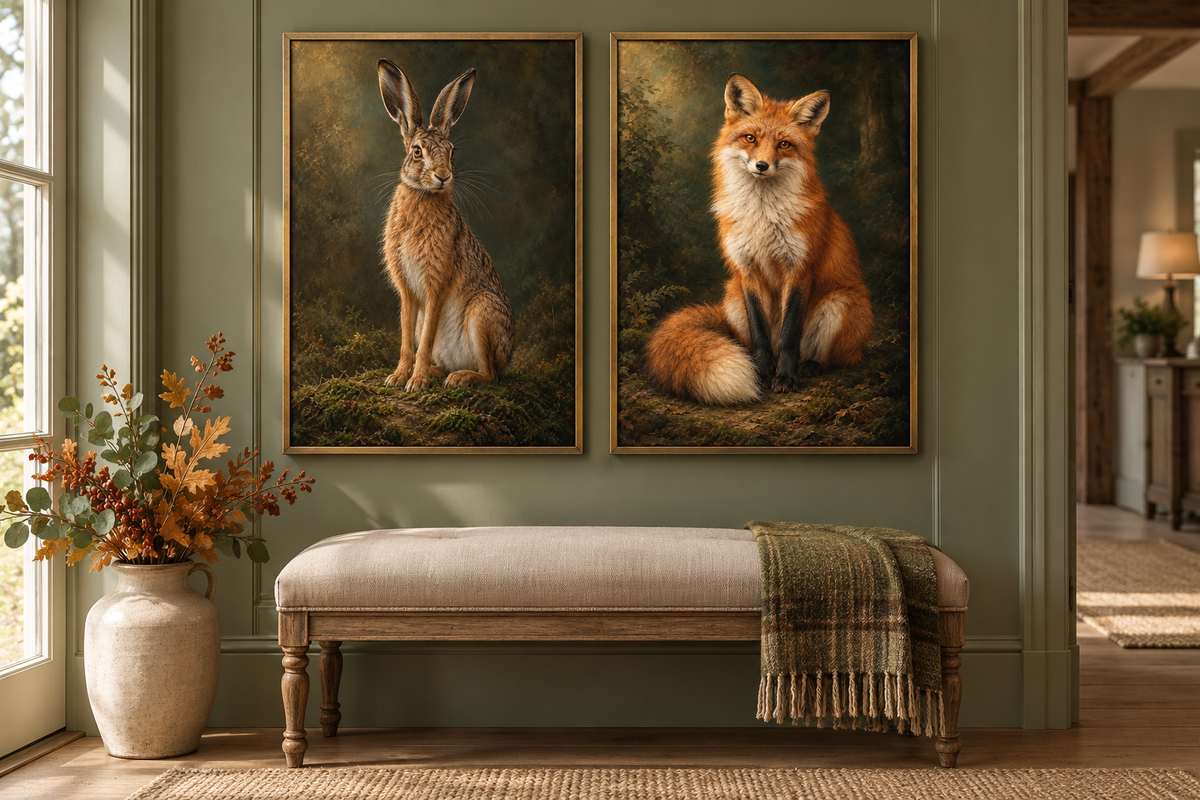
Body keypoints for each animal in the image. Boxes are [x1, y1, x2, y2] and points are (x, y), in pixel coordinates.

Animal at [376, 59, 515, 392]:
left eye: (452, 152)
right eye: (416, 151)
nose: (443, 176)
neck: (423, 194)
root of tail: (509, 358)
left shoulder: (436, 283)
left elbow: (426, 336)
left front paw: (415, 383)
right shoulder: (407, 290)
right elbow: (407, 337)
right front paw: (398, 377)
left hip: (482, 315)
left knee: (491, 375)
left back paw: (459, 377)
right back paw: (437, 372)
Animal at [644, 73, 873, 406]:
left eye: (784, 144)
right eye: (750, 138)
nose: (762, 166)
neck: (763, 218)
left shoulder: (799, 269)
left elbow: (790, 335)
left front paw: (786, 379)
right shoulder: (747, 271)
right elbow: (760, 337)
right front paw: (763, 375)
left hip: (840, 301)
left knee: (835, 357)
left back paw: (808, 366)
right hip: (732, 299)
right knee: (755, 342)